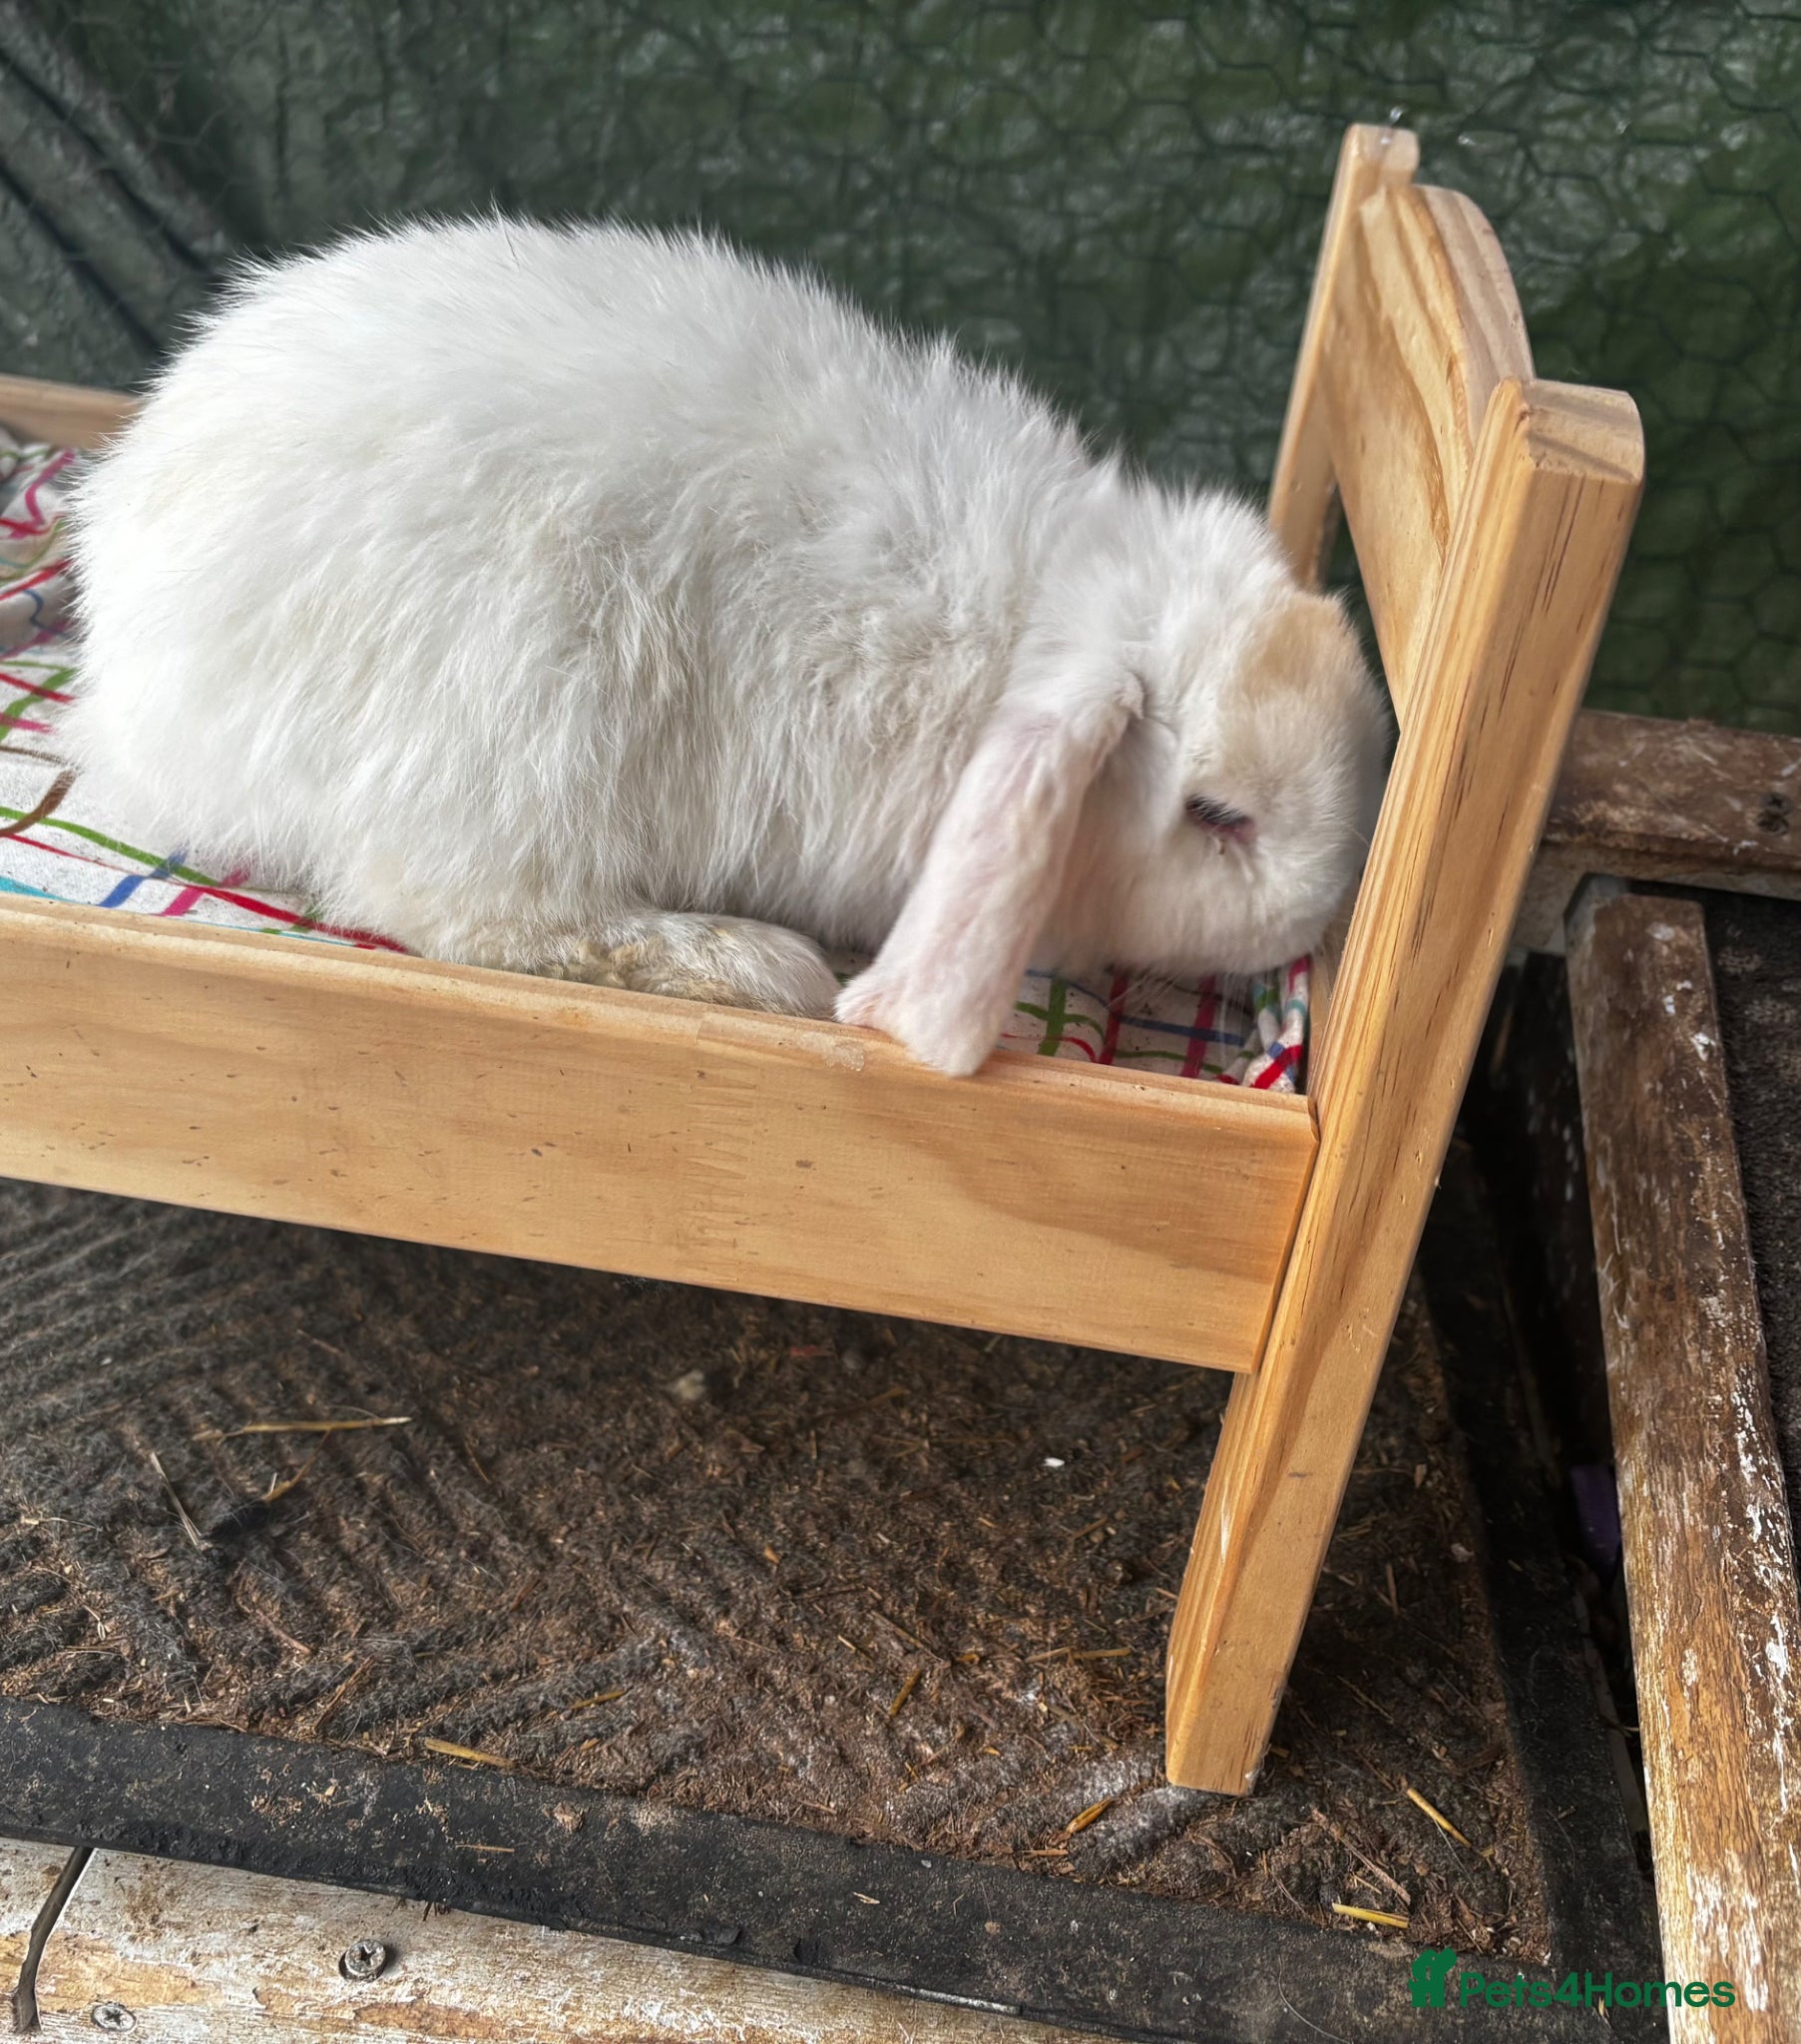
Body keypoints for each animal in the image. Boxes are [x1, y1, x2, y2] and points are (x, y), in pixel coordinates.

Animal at [62, 216, 1389, 1077]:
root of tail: (130, 690)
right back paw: (753, 963)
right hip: (524, 715)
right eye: (1217, 815)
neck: (1028, 633)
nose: (1314, 919)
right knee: (459, 909)